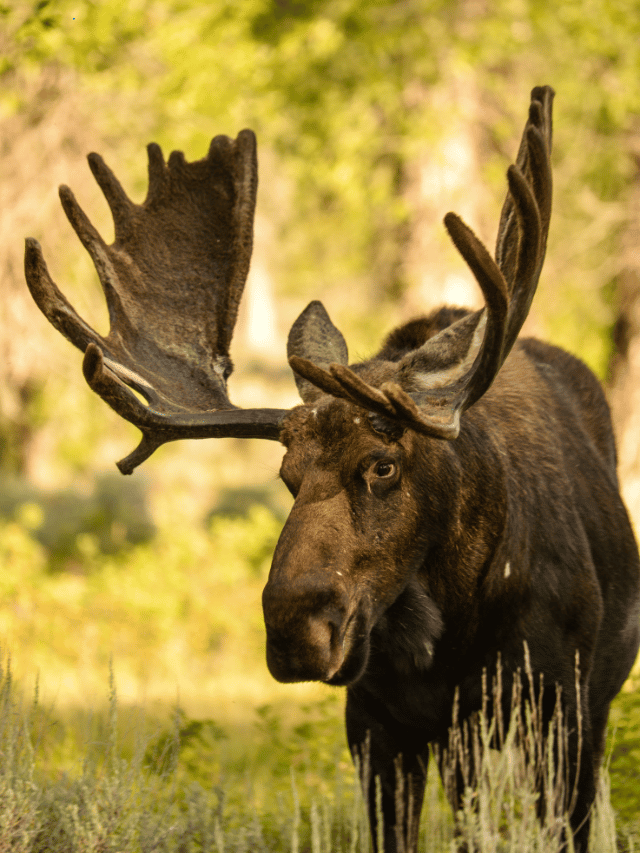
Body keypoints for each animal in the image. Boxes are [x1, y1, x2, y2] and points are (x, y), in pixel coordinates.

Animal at [23, 88, 640, 852]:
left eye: (383, 466)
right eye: (287, 475)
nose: (295, 629)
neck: (456, 628)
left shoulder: (563, 711)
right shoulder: (376, 725)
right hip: (463, 747)